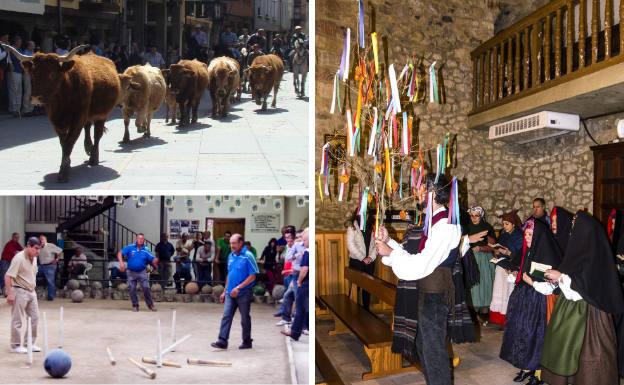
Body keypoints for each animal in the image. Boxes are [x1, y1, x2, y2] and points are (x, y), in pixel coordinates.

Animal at [1, 44, 121, 182]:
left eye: (52, 73)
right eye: (32, 74)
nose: (36, 98)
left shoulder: (78, 118)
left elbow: (69, 142)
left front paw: (63, 172)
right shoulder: (56, 120)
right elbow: (63, 143)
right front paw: (66, 164)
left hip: (102, 114)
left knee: (97, 134)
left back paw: (94, 158)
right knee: (88, 127)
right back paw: (88, 148)